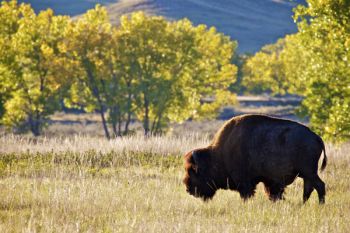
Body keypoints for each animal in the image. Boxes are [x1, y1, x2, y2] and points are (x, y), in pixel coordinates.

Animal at [183, 114, 328, 204]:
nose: (188, 188)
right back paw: (303, 204)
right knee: (308, 189)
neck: (217, 155)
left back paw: (320, 205)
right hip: (306, 174)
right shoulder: (269, 182)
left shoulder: (245, 183)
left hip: (309, 172)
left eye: (192, 171)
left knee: (319, 186)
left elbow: (247, 194)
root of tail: (316, 137)